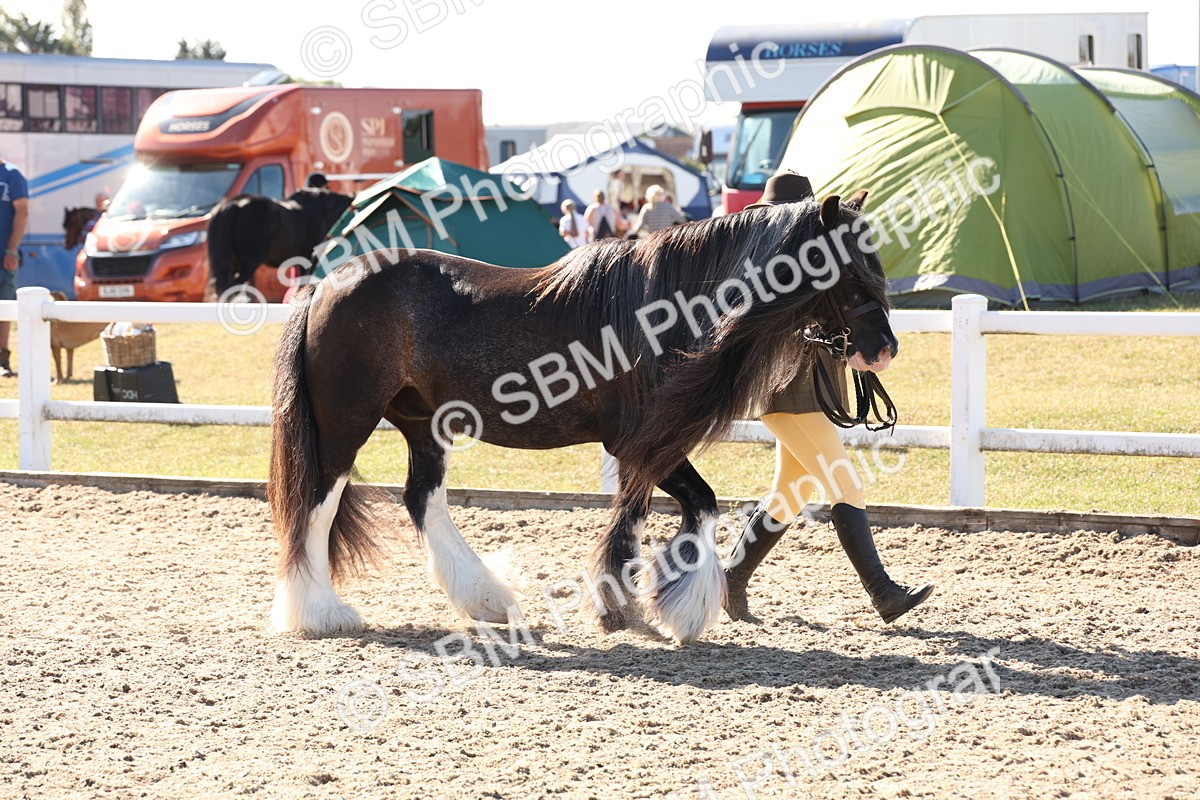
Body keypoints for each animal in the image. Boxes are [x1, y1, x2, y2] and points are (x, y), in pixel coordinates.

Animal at [266, 192, 897, 644]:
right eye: (845, 268)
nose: (885, 349)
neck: (660, 309)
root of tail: (327, 284)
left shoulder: (647, 447)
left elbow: (666, 511)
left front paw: (646, 605)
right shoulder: (641, 442)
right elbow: (688, 506)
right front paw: (646, 607)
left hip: (424, 423)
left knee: (423, 499)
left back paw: (488, 599)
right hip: (347, 423)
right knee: (317, 501)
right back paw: (320, 613)